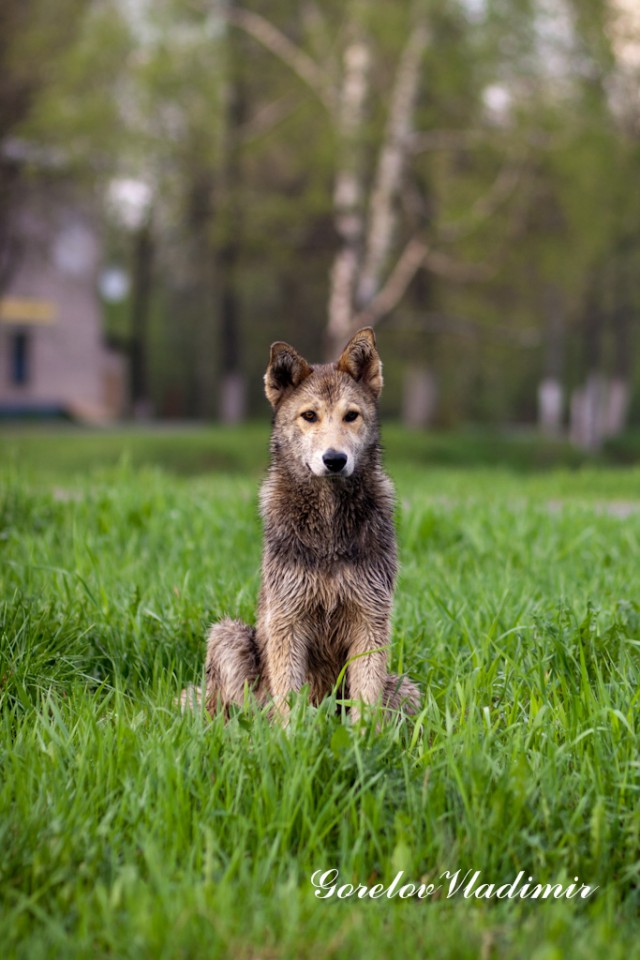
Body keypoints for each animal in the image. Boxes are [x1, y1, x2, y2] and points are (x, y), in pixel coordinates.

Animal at [204, 326, 420, 724]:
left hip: (403, 687)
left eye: (351, 416)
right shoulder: (288, 620)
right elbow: (289, 698)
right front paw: (293, 735)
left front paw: (363, 737)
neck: (329, 522)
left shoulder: (371, 618)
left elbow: (366, 698)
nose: (334, 459)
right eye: (309, 416)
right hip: (229, 636)